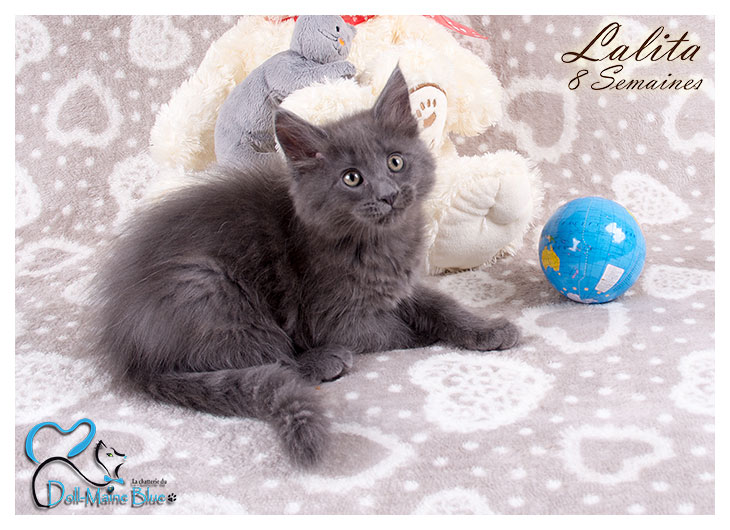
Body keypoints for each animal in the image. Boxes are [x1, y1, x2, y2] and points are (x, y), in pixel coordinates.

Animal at [93, 66, 519, 468]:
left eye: (395, 162)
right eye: (352, 178)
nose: (389, 194)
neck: (382, 243)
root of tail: (127, 352)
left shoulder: (403, 286)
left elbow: (441, 305)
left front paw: (487, 329)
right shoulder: (337, 317)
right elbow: (395, 332)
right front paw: (424, 335)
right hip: (208, 286)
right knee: (259, 356)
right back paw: (322, 360)